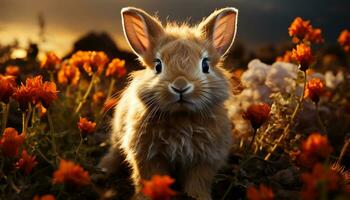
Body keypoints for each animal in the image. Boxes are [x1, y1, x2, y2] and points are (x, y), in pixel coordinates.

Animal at [98, 6, 241, 200]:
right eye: (158, 66)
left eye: (205, 65)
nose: (180, 86)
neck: (181, 117)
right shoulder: (148, 156)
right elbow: (149, 177)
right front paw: (147, 196)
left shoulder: (205, 160)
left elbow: (198, 181)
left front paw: (198, 197)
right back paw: (104, 168)